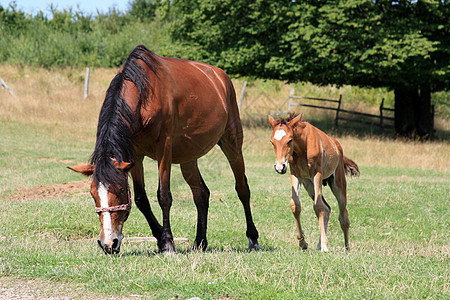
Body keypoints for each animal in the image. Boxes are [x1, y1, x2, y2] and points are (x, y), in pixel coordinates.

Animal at [69, 45, 260, 254]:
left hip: (232, 143)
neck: (144, 95)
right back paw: (200, 241)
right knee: (201, 193)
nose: (108, 244)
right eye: (93, 194)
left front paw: (167, 242)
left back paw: (253, 238)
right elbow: (141, 199)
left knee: (242, 188)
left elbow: (164, 195)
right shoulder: (135, 155)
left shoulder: (164, 149)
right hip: (188, 157)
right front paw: (160, 237)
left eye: (119, 190)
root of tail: (220, 76)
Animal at [268, 112, 358, 251]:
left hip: (338, 184)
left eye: (290, 140)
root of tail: (337, 146)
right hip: (309, 185)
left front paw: (325, 246)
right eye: (272, 142)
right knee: (327, 208)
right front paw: (303, 243)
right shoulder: (295, 174)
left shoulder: (317, 174)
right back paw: (320, 244)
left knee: (343, 216)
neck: (301, 148)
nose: (279, 167)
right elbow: (295, 205)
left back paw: (347, 248)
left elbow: (318, 206)